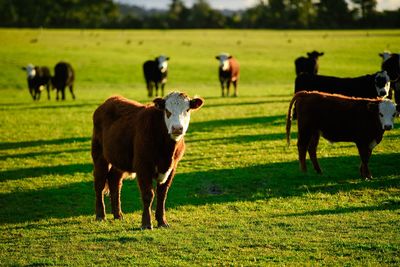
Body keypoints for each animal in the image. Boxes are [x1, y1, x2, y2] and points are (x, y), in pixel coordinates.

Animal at [90, 92, 203, 230]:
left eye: (187, 110)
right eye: (167, 111)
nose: (177, 128)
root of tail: (110, 99)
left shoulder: (172, 167)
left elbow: (162, 194)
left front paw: (162, 221)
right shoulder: (143, 166)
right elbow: (148, 195)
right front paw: (146, 223)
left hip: (119, 159)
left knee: (114, 181)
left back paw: (118, 215)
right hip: (99, 155)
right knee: (99, 183)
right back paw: (100, 215)